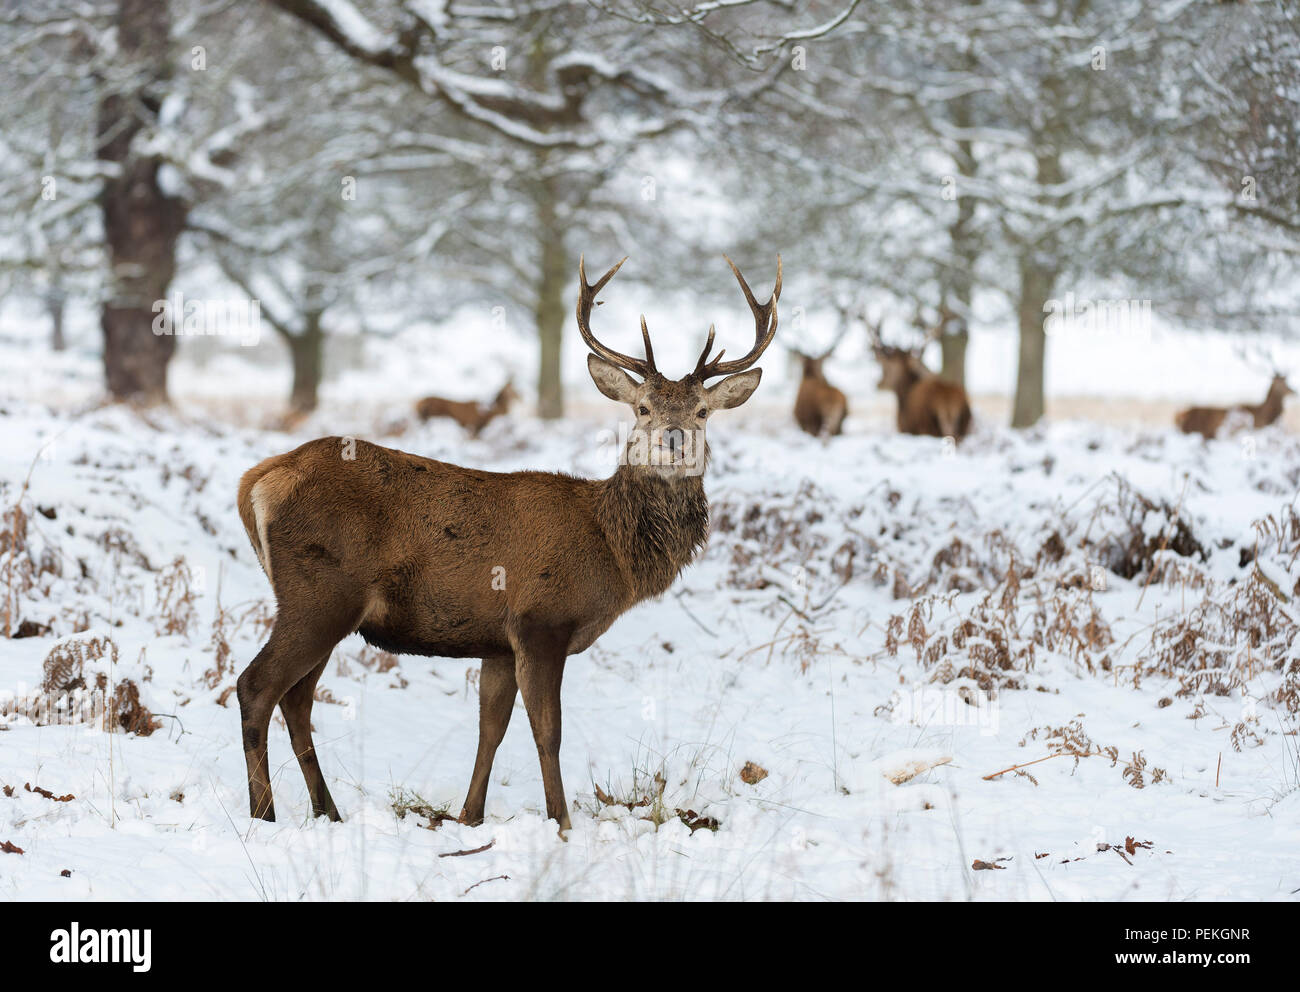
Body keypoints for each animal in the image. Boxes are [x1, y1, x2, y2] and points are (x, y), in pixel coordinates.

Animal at [236, 253, 780, 832]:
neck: (610, 548)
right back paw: (264, 816)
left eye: (702, 410)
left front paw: (468, 817)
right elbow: (548, 731)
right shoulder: (541, 620)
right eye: (642, 408)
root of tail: (258, 481)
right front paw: (561, 824)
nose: (673, 440)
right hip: (318, 593)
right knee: (257, 687)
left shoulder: (497, 641)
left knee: (297, 700)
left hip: (329, 605)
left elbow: (491, 730)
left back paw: (329, 812)